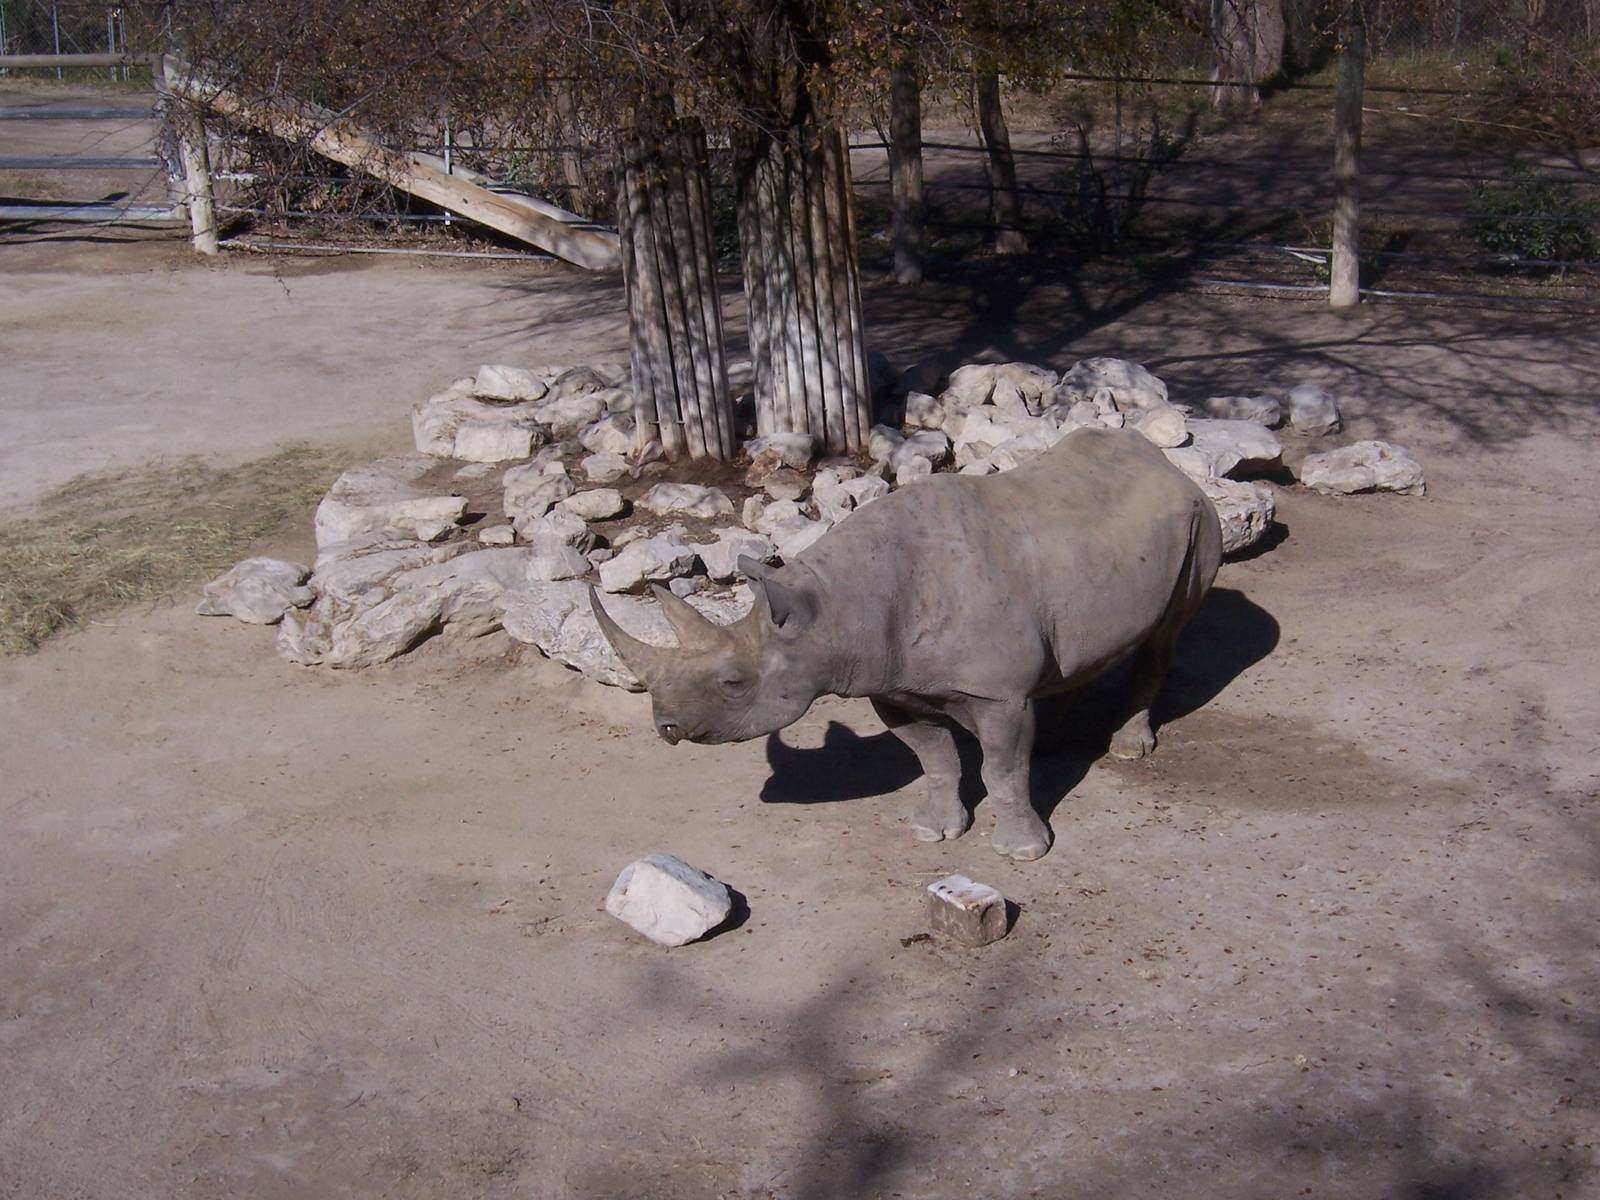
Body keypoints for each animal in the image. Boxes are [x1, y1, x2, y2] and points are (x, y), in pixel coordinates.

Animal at [591, 427, 1223, 861]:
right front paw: (933, 830)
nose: (665, 726)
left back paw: (1128, 747)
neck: (830, 613)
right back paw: (1053, 740)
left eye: (733, 683)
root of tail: (1163, 461)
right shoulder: (893, 684)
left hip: (1198, 517)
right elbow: (935, 759)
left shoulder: (994, 693)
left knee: (1165, 635)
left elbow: (1002, 769)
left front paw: (1022, 850)